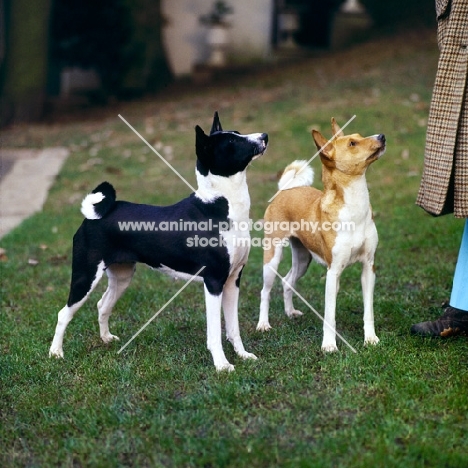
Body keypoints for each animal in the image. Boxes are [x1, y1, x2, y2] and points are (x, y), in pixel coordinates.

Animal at [49, 111, 268, 372]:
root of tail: (91, 217)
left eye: (238, 133)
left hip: (122, 276)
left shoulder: (233, 279)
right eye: (233, 142)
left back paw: (106, 339)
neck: (218, 205)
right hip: (86, 276)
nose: (265, 136)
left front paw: (243, 355)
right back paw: (56, 353)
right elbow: (215, 332)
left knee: (102, 305)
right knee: (63, 314)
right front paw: (222, 365)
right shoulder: (214, 281)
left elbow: (233, 328)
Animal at [258, 119, 386, 352]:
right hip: (272, 258)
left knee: (288, 282)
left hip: (302, 259)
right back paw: (263, 324)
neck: (355, 210)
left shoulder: (368, 267)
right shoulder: (332, 272)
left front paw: (370, 339)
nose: (382, 136)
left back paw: (290, 312)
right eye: (353, 143)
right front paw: (329, 345)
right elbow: (329, 315)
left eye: (359, 136)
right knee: (265, 291)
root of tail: (286, 189)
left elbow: (368, 311)